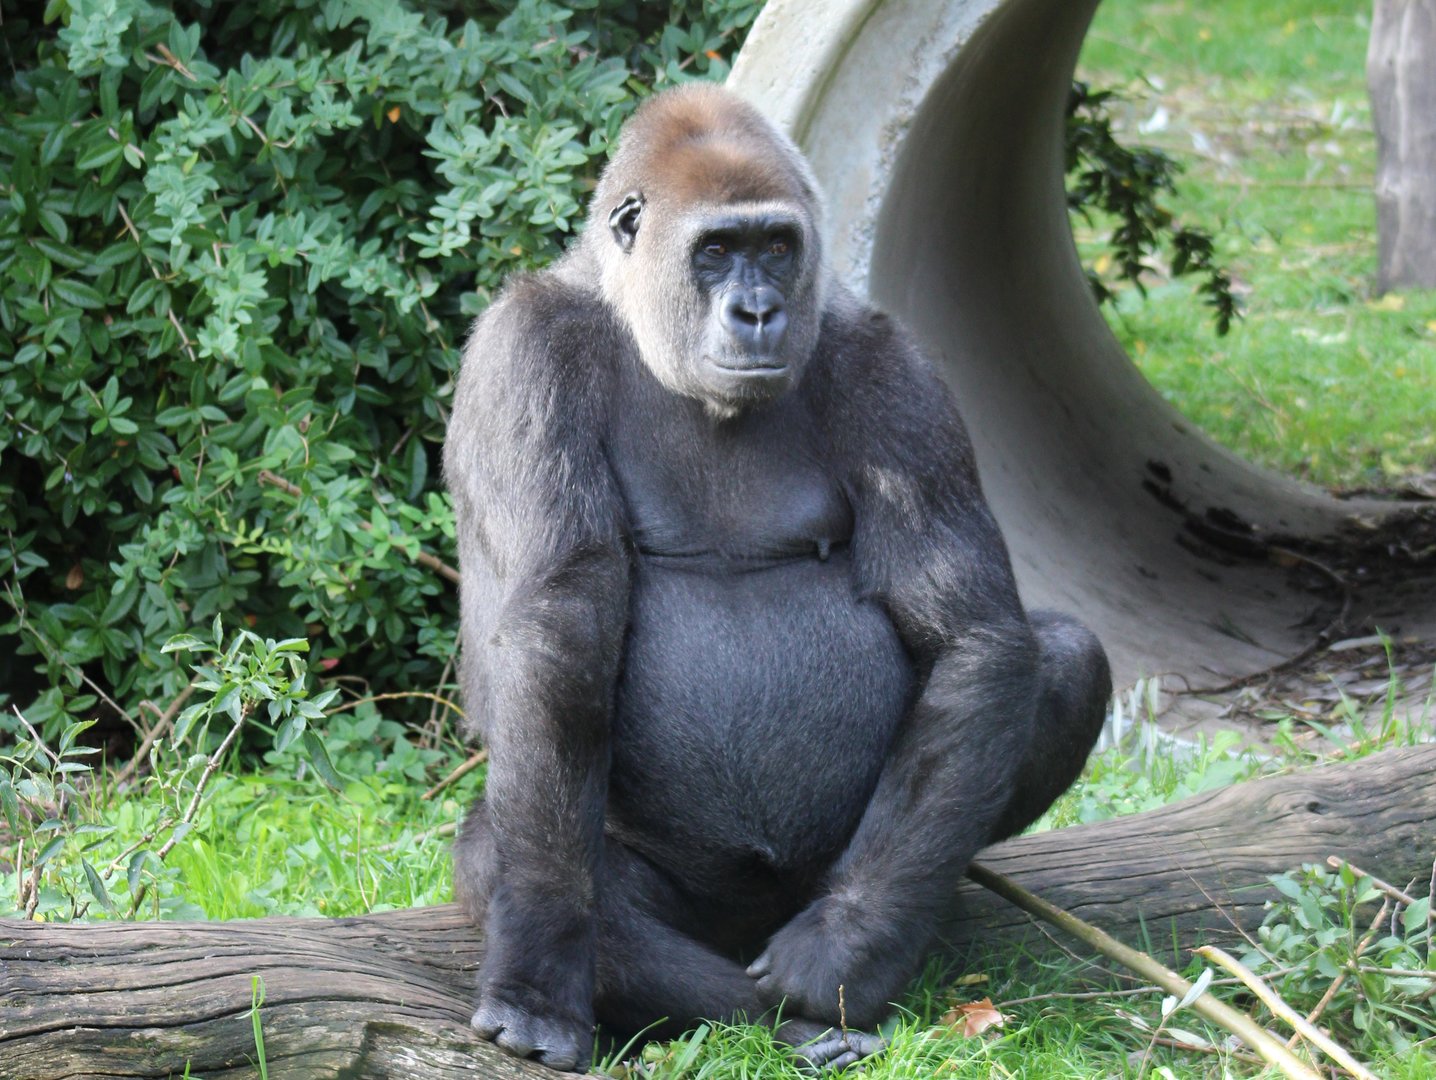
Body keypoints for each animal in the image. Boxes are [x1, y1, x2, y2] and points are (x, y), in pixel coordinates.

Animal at [443, 83, 1111, 1073]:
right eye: (716, 251)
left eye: (777, 248)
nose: (758, 312)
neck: (633, 311)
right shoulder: (524, 354)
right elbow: (560, 628)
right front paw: (538, 970)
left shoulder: (896, 369)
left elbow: (974, 635)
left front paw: (849, 949)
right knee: (499, 850)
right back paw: (754, 1017)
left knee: (1060, 656)